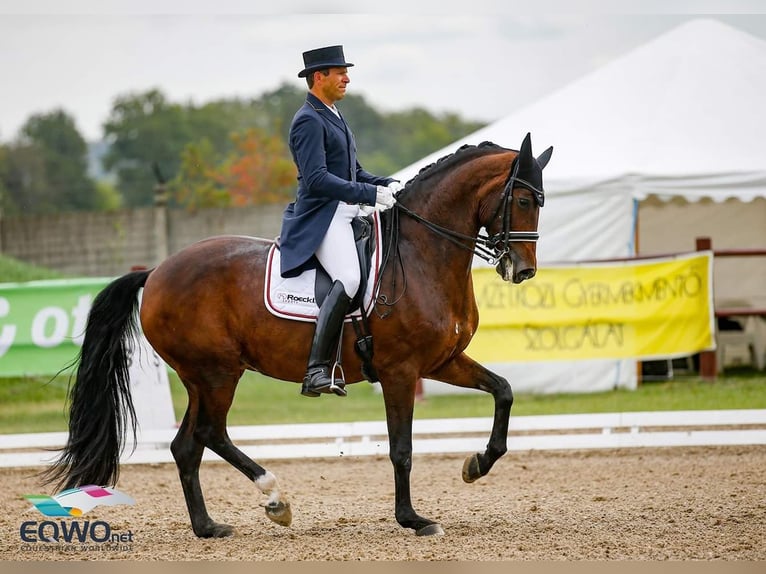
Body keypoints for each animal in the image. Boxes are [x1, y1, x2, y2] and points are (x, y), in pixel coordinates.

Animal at [44, 133, 552, 538]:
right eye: (524, 201)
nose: (523, 270)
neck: (421, 253)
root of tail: (156, 273)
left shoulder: (442, 362)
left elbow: (503, 391)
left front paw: (476, 464)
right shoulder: (401, 371)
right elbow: (402, 449)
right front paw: (413, 519)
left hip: (200, 377)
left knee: (187, 445)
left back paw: (209, 527)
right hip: (216, 372)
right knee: (210, 433)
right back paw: (274, 499)